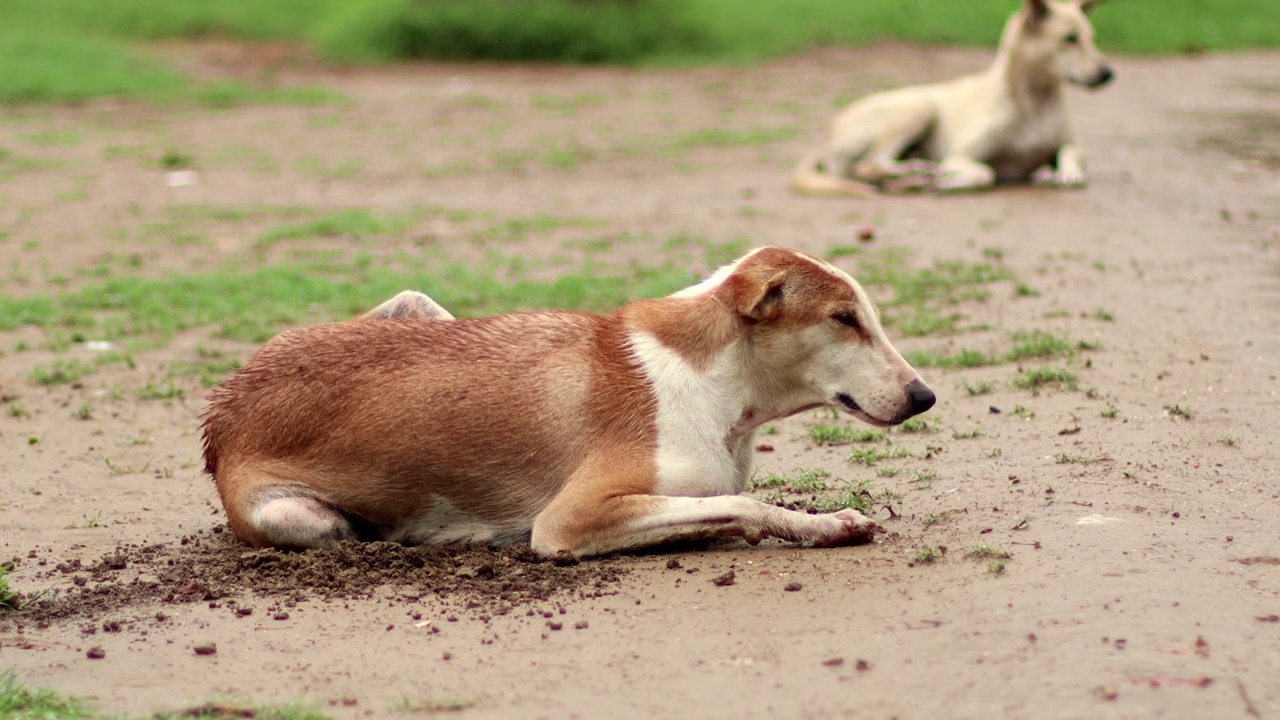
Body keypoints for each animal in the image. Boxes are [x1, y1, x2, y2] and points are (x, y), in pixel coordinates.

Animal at [788, 0, 1111, 194]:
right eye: (1070, 39)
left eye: (1092, 38)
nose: (1108, 73)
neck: (1034, 103)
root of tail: (829, 131)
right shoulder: (960, 156)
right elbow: (984, 173)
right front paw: (948, 180)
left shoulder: (1070, 144)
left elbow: (1070, 152)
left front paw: (1068, 172)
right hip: (921, 105)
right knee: (870, 163)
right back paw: (917, 172)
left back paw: (910, 177)